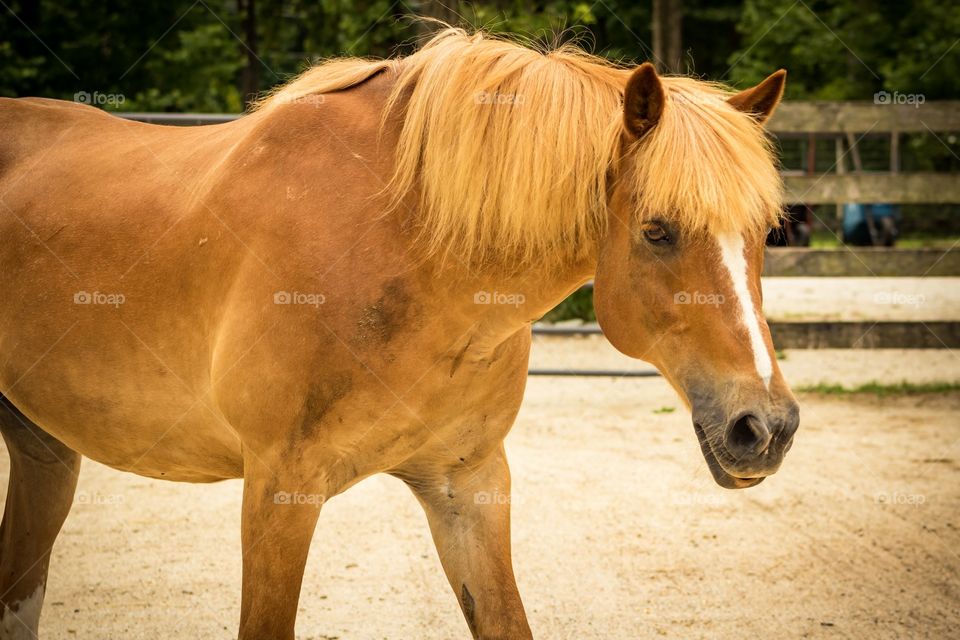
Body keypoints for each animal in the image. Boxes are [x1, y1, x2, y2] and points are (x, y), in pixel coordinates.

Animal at [0, 27, 796, 636]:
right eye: (658, 230)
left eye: (766, 231)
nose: (766, 426)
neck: (404, 245)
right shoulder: (278, 492)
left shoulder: (468, 484)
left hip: (46, 452)